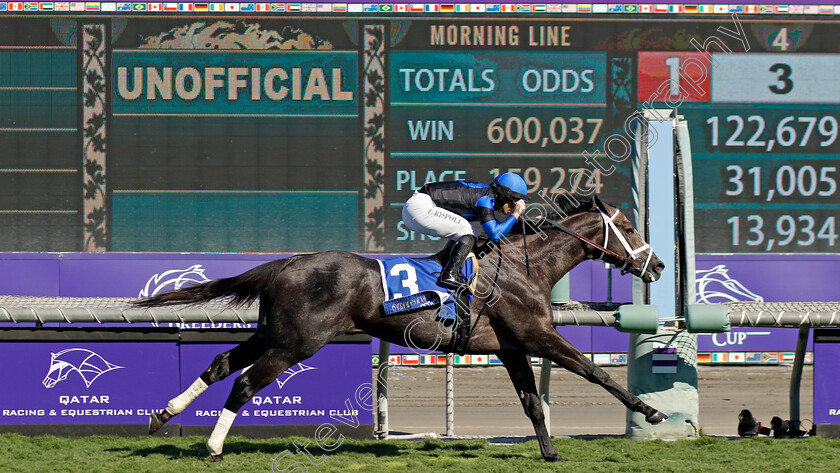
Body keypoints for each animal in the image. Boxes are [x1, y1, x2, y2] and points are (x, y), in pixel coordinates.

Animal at [135, 191, 668, 460]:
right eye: (630, 229)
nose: (659, 265)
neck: (523, 267)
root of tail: (288, 262)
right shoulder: (539, 335)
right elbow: (595, 372)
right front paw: (651, 411)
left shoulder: (511, 346)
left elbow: (533, 403)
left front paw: (551, 453)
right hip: (298, 342)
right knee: (245, 383)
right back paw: (212, 445)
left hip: (274, 332)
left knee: (222, 361)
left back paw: (163, 414)